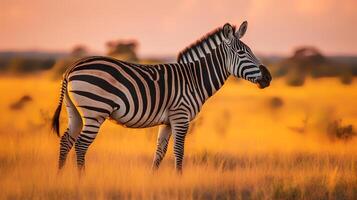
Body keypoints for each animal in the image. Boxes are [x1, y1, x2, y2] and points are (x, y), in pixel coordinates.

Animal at [52, 20, 270, 173]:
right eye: (242, 53)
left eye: (250, 51)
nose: (268, 77)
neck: (194, 79)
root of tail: (71, 68)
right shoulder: (181, 117)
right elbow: (179, 152)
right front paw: (179, 180)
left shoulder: (167, 121)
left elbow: (160, 152)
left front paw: (152, 179)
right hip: (95, 110)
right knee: (81, 145)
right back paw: (81, 179)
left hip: (75, 112)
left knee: (66, 141)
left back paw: (60, 177)